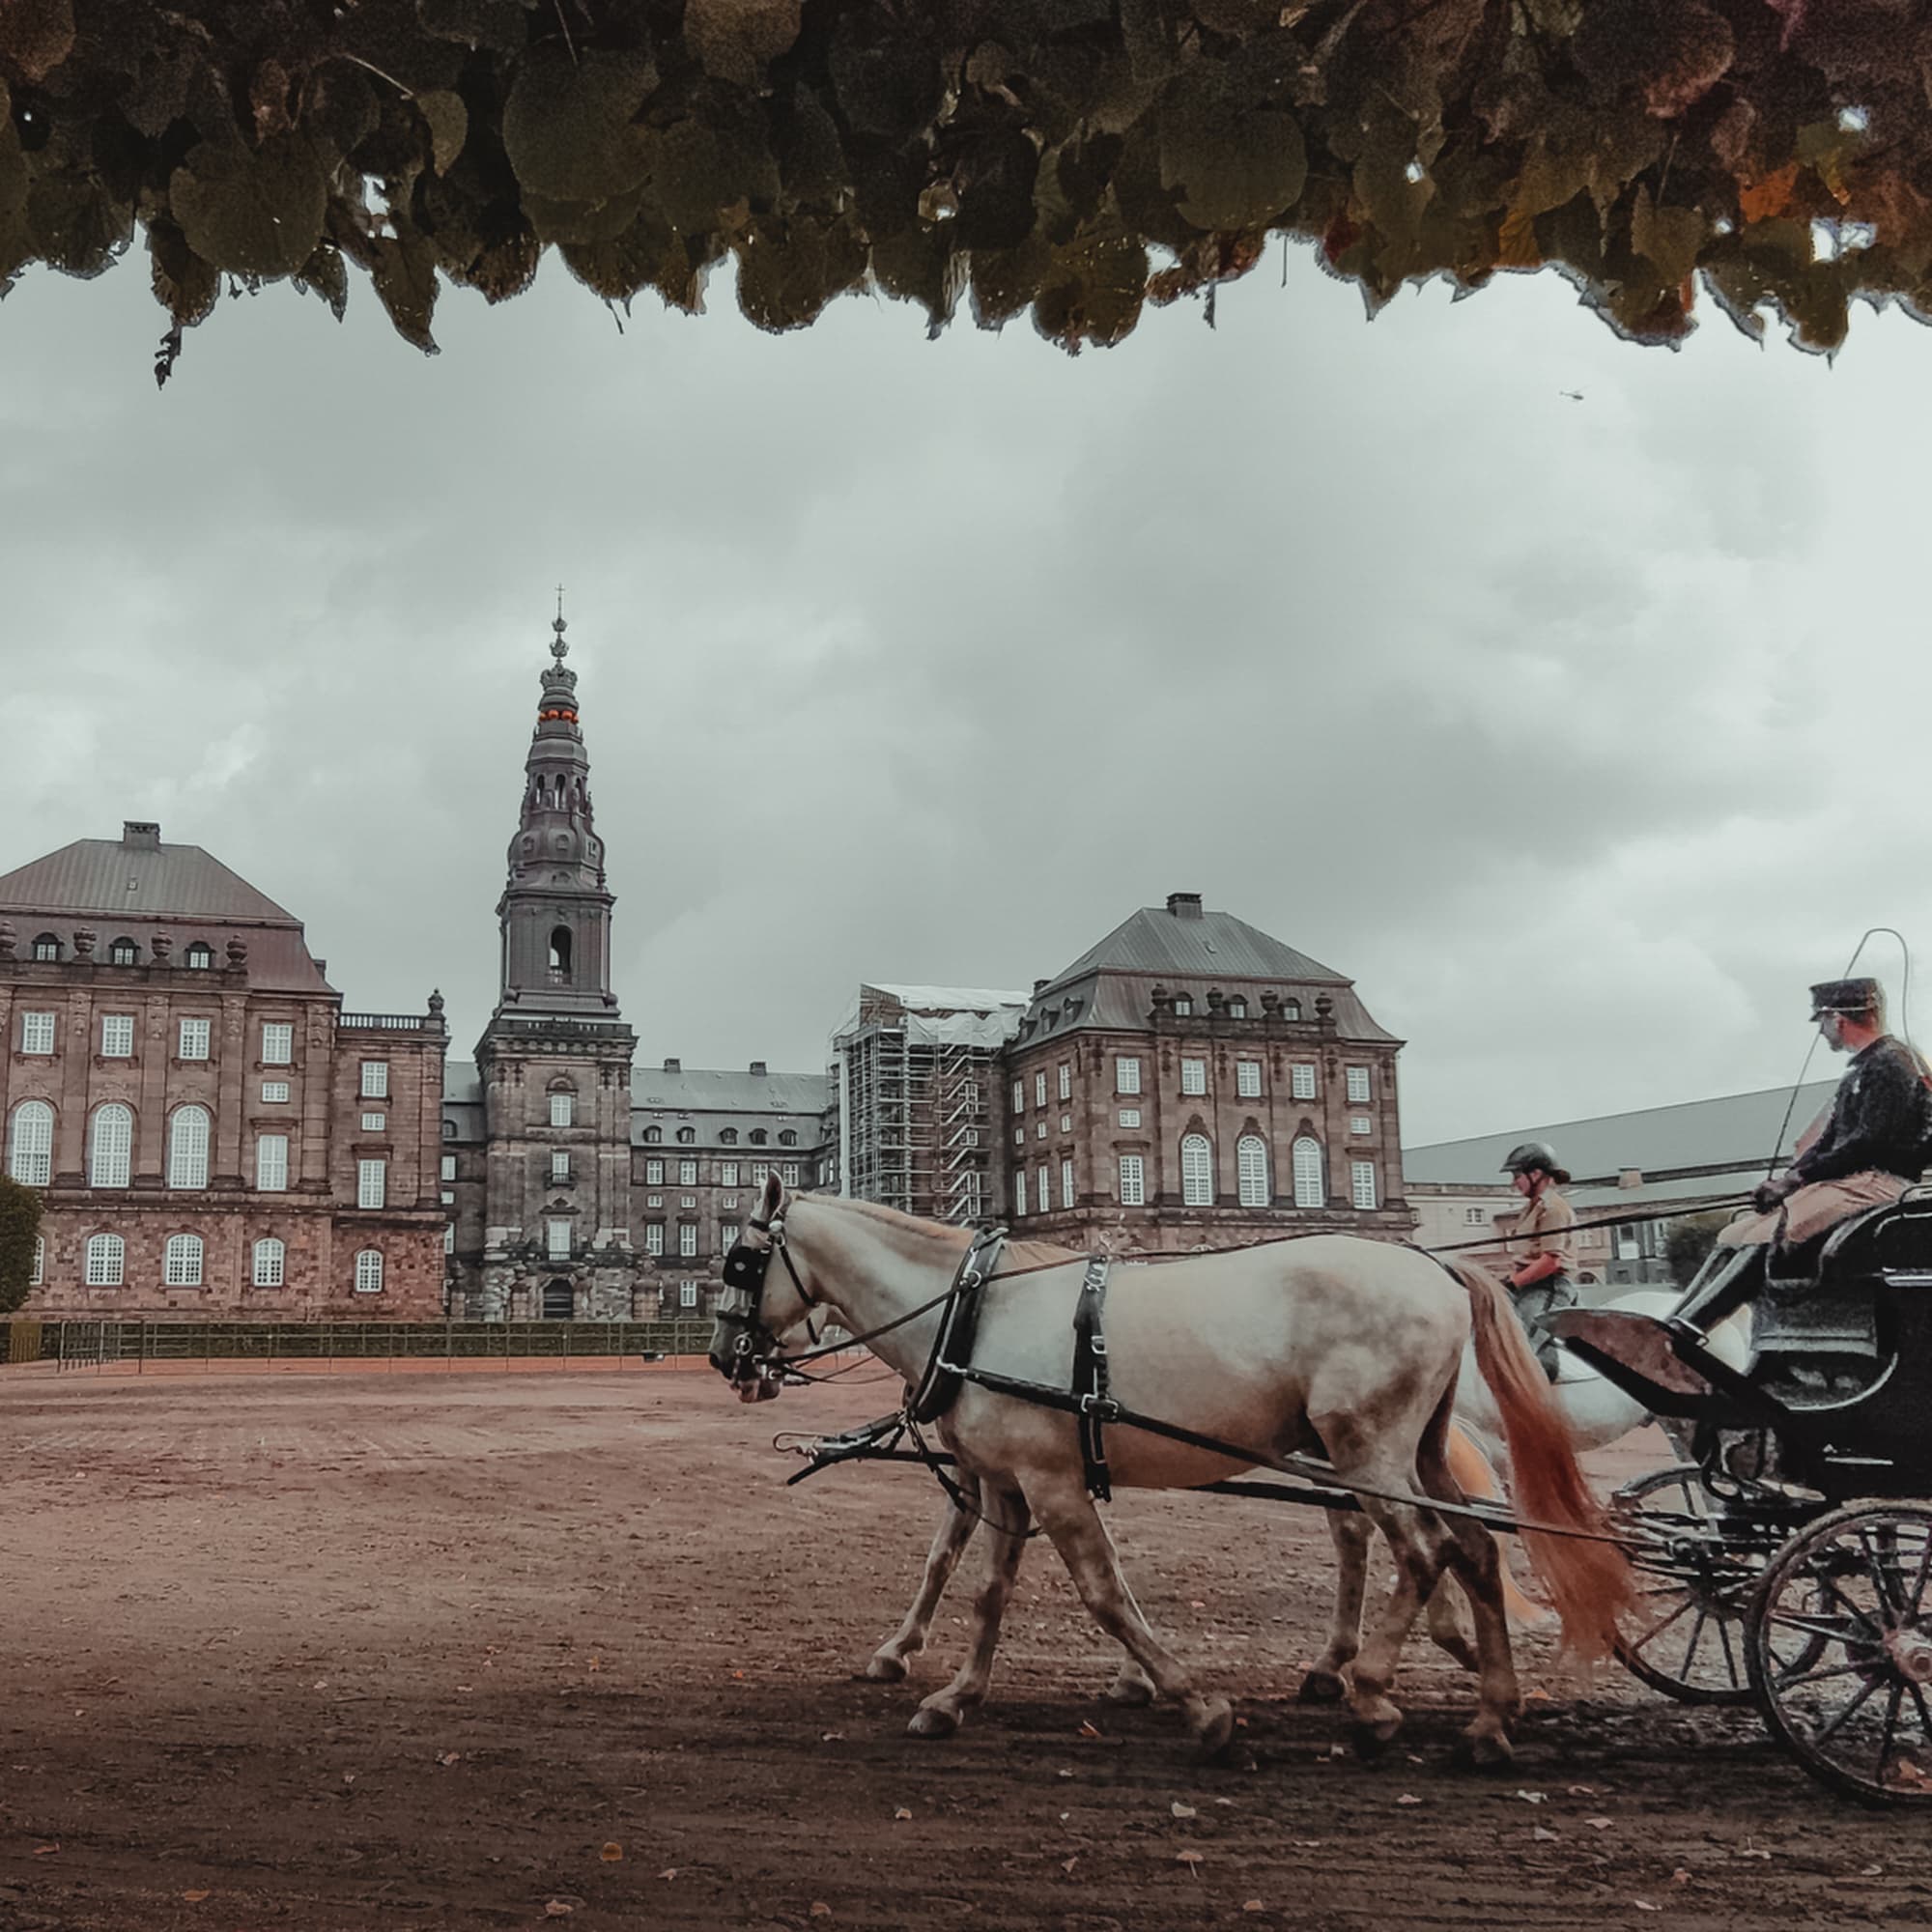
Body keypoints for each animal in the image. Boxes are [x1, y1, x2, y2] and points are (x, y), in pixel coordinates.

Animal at [715, 1175, 1631, 1770]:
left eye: (738, 1262)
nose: (729, 1359)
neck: (974, 1310)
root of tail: (1430, 1264)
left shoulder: (1051, 1481)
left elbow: (1103, 1593)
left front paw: (1197, 1705)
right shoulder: (1007, 1483)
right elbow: (984, 1590)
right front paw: (954, 1696)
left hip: (1365, 1448)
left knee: (1419, 1550)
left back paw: (1372, 1692)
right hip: (1416, 1449)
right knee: (1470, 1549)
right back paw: (1489, 1714)